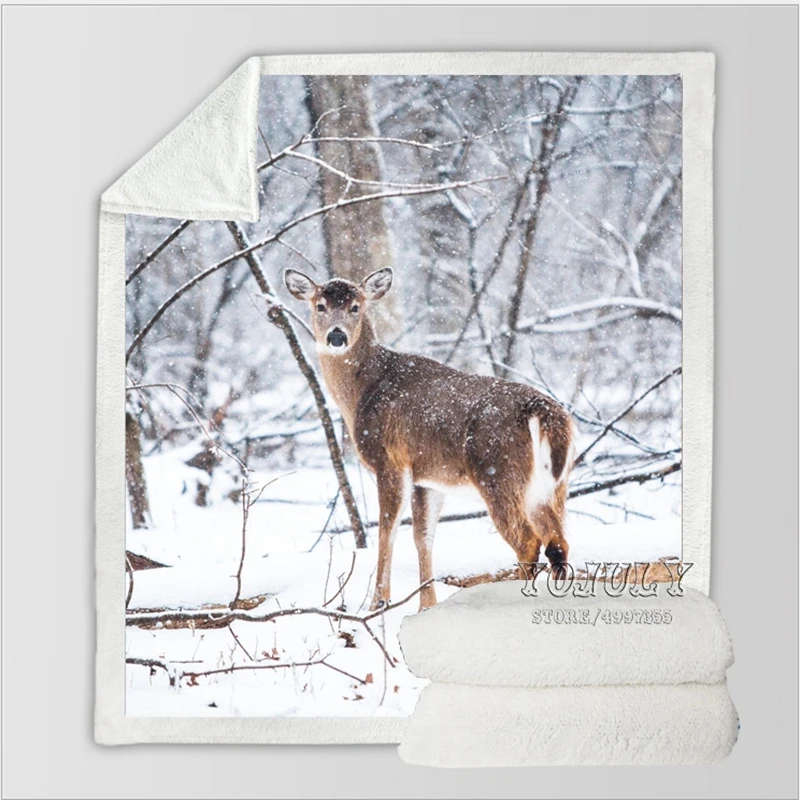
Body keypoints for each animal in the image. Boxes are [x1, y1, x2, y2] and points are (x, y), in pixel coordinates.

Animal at [285, 267, 575, 611]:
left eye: (356, 307)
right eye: (320, 306)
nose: (337, 336)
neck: (362, 393)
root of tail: (545, 412)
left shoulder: (390, 460)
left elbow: (387, 530)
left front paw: (378, 602)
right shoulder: (428, 477)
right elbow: (423, 536)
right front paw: (426, 606)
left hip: (498, 473)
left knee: (529, 542)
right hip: (552, 486)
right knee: (558, 543)